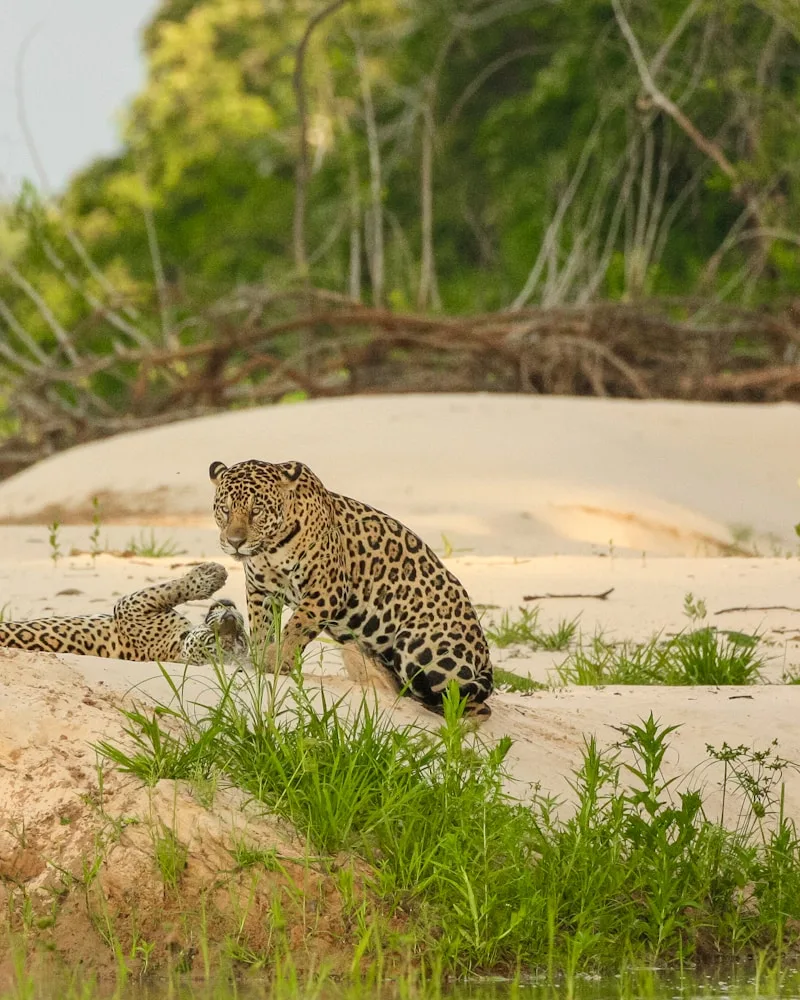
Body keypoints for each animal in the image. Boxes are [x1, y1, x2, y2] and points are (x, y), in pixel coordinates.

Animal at [0, 562, 248, 664]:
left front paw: (211, 574)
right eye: (212, 639)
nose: (229, 618)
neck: (173, 649)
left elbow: (170, 588)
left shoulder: (130, 605)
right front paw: (213, 574)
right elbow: (171, 588)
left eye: (236, 641)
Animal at [209, 459, 493, 717]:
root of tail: (486, 657)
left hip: (418, 649)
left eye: (256, 510)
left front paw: (277, 660)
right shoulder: (261, 592)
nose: (235, 542)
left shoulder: (326, 589)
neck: (270, 549)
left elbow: (296, 627)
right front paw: (260, 660)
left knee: (473, 705)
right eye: (225, 509)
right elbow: (262, 629)